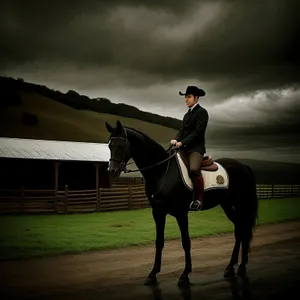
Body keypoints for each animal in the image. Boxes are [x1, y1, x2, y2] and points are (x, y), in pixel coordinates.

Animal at [105, 120, 258, 286]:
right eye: (109, 146)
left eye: (121, 145)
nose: (111, 171)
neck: (162, 171)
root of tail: (243, 166)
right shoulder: (158, 213)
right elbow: (159, 242)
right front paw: (153, 274)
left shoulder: (181, 213)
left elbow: (186, 242)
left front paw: (185, 274)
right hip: (228, 205)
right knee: (239, 229)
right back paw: (232, 266)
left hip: (241, 203)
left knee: (242, 229)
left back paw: (241, 266)